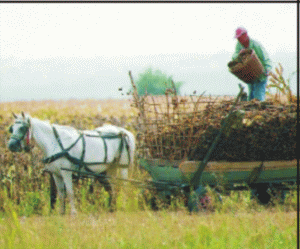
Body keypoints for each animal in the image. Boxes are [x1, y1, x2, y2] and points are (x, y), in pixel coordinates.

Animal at [7, 112, 135, 215]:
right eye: (12, 128)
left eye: (22, 128)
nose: (11, 146)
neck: (55, 143)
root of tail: (124, 132)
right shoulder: (56, 174)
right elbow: (60, 193)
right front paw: (61, 212)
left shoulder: (66, 172)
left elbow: (69, 191)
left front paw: (73, 212)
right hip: (110, 167)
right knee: (112, 187)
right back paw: (112, 208)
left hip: (122, 167)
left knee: (124, 186)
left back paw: (123, 206)